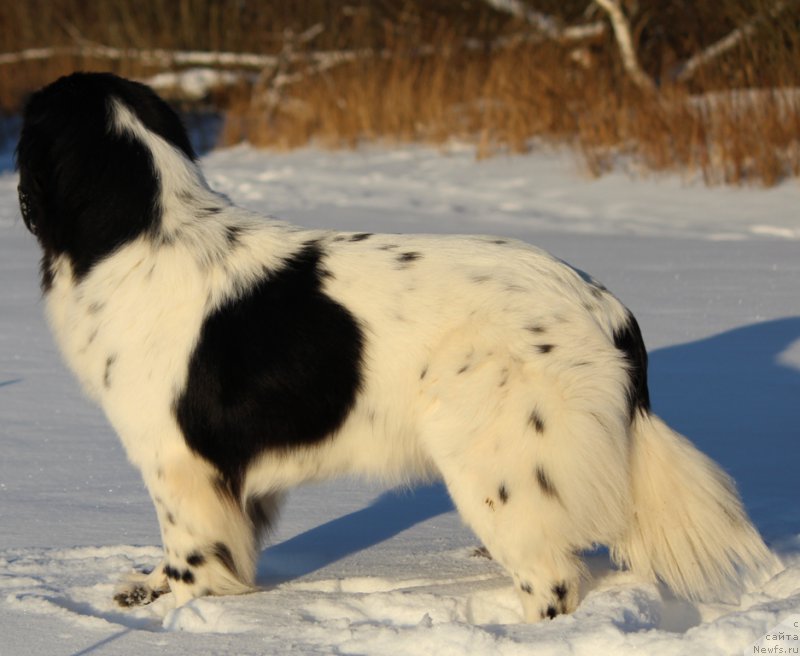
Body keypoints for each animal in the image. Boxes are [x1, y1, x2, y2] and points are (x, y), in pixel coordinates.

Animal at [15, 72, 780, 620]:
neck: (143, 227)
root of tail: (605, 306)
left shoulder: (179, 461)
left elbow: (192, 552)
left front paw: (175, 609)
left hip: (492, 457)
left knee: (552, 582)